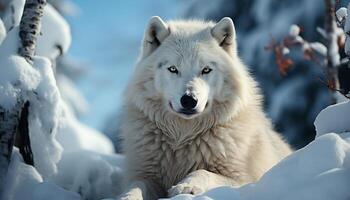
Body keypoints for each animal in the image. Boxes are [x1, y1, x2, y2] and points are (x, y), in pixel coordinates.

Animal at [119, 16, 292, 200]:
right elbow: (137, 185)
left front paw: (186, 186)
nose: (189, 100)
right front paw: (127, 196)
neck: (182, 139)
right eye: (173, 69)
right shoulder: (145, 175)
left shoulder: (243, 179)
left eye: (206, 70)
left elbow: (203, 172)